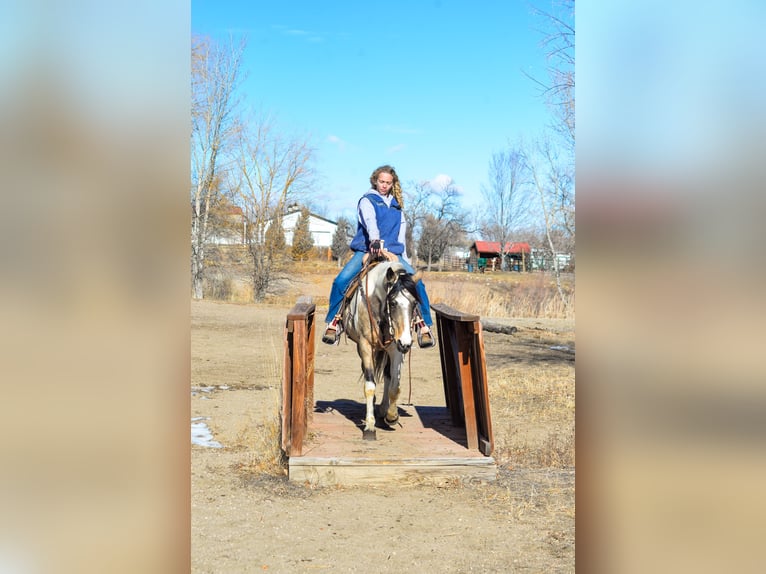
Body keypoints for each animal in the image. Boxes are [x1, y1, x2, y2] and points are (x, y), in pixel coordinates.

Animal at [344, 260, 426, 440]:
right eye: (393, 303)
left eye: (414, 304)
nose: (407, 343)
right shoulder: (365, 345)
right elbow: (369, 385)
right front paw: (369, 427)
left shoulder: (395, 348)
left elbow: (395, 384)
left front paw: (392, 415)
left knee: (388, 375)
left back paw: (383, 408)